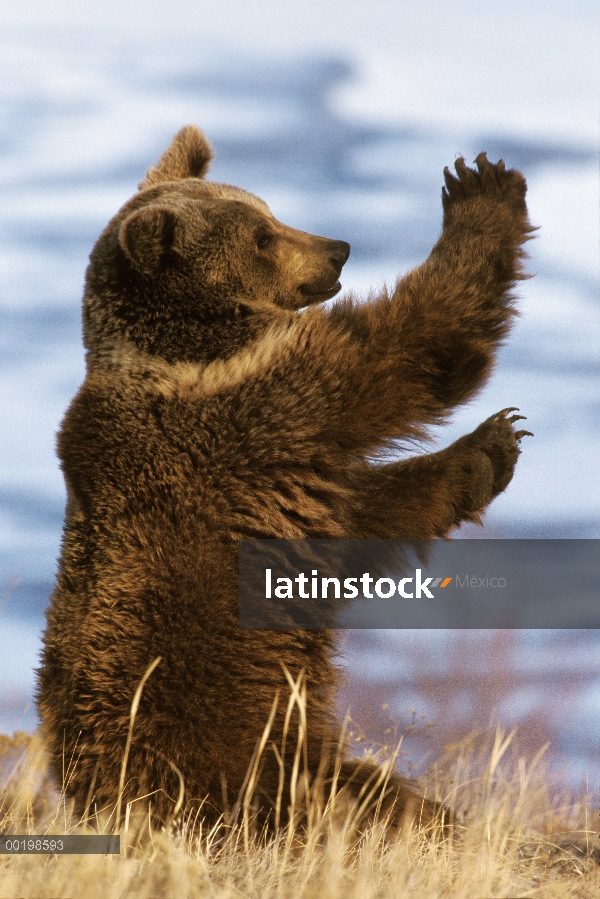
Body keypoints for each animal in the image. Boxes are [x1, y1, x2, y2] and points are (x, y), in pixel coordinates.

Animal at [37, 126, 536, 836]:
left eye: (266, 211)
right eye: (261, 237)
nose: (337, 249)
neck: (194, 349)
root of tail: (98, 801)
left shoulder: (285, 470)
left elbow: (370, 516)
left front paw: (494, 449)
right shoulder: (268, 409)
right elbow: (412, 347)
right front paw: (480, 191)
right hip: (237, 748)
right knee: (355, 803)